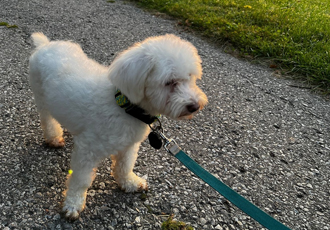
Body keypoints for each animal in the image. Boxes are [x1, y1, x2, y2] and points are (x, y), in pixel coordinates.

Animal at [29, 32, 208, 219]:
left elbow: (125, 165)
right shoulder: (88, 150)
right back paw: (53, 138)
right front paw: (73, 204)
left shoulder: (129, 145)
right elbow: (81, 179)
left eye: (191, 77)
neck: (125, 107)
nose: (195, 106)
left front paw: (130, 182)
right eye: (170, 82)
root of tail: (45, 45)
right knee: (47, 119)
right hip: (40, 95)